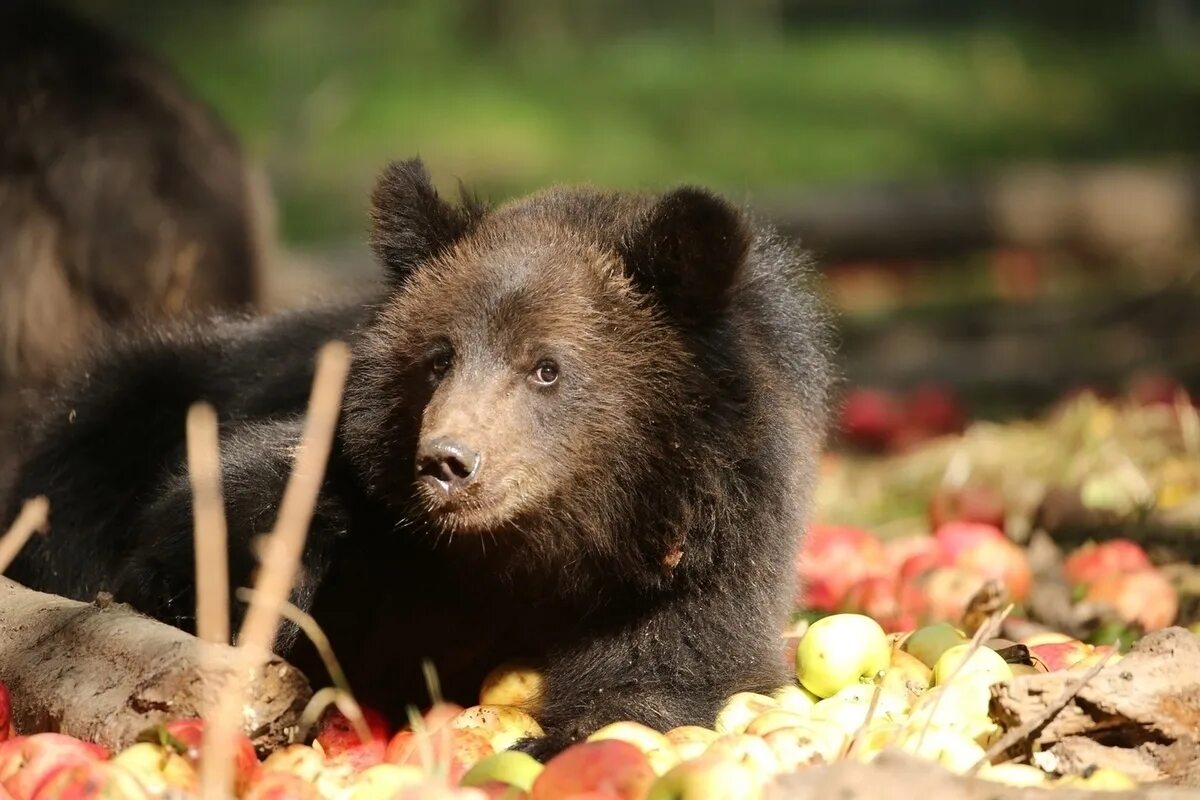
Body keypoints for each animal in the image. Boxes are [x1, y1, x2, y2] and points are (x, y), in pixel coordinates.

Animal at [4, 159, 830, 762]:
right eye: (439, 356)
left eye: (546, 367)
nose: (448, 462)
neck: (540, 549)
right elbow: (241, 504)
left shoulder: (702, 554)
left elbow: (668, 670)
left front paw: (544, 741)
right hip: (122, 412)